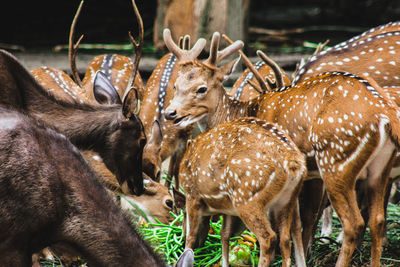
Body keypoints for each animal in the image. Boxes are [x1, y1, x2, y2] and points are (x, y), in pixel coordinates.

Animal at [162, 29, 400, 266]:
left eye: (201, 88)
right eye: (176, 85)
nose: (169, 113)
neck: (244, 111)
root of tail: (385, 114)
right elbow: (296, 224)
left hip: (335, 161)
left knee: (353, 223)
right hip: (380, 168)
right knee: (377, 219)